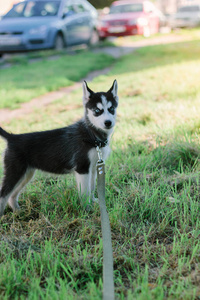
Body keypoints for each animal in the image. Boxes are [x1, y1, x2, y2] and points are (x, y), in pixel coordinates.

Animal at [0, 79, 118, 216]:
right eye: (97, 111)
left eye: (111, 109)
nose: (108, 123)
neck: (91, 134)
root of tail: (12, 137)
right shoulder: (82, 168)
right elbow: (85, 192)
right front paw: (87, 209)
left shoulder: (93, 167)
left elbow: (92, 187)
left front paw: (94, 202)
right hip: (15, 172)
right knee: (3, 194)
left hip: (26, 174)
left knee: (12, 194)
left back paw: (18, 211)